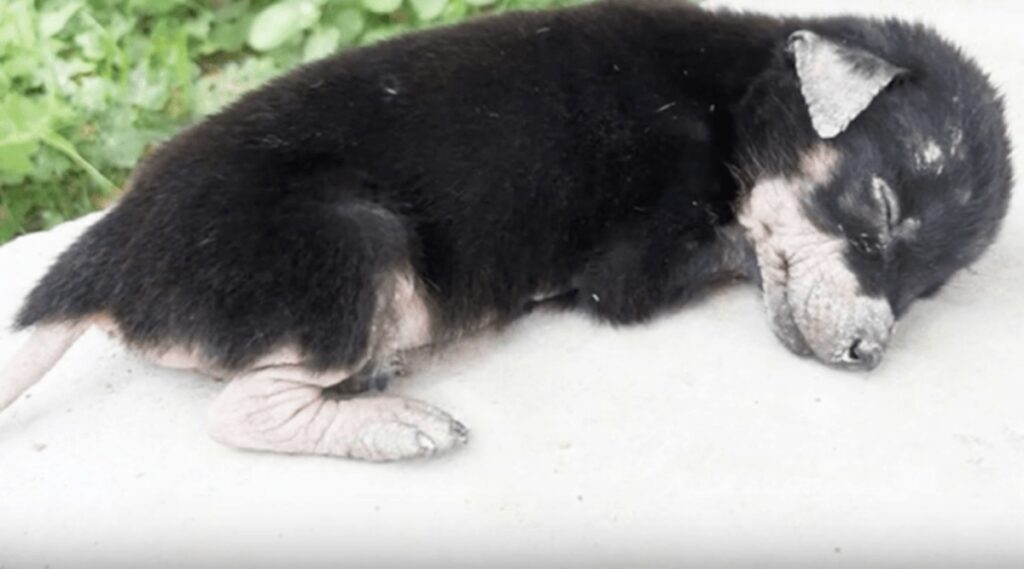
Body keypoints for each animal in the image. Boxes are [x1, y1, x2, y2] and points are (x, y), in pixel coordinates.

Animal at [0, 0, 1011, 460]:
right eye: (877, 211)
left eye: (930, 287)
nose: (867, 353)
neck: (734, 98)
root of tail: (97, 266)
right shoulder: (635, 264)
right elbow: (732, 243)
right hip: (355, 246)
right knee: (238, 409)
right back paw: (397, 424)